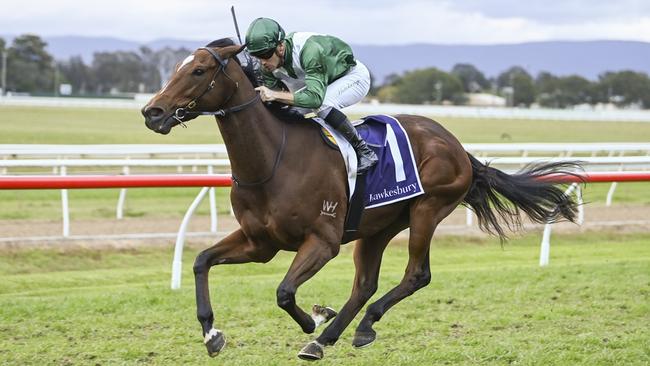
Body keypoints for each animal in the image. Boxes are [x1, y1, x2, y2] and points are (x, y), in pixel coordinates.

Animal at [140, 40, 576, 360]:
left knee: (416, 274)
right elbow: (201, 261)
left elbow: (284, 292)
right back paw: (328, 338)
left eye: (198, 71)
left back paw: (353, 328)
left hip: (427, 210)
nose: (152, 112)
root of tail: (455, 145)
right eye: (175, 68)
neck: (273, 159)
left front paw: (312, 319)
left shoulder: (323, 241)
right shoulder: (259, 242)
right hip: (377, 226)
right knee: (365, 284)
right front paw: (212, 333)